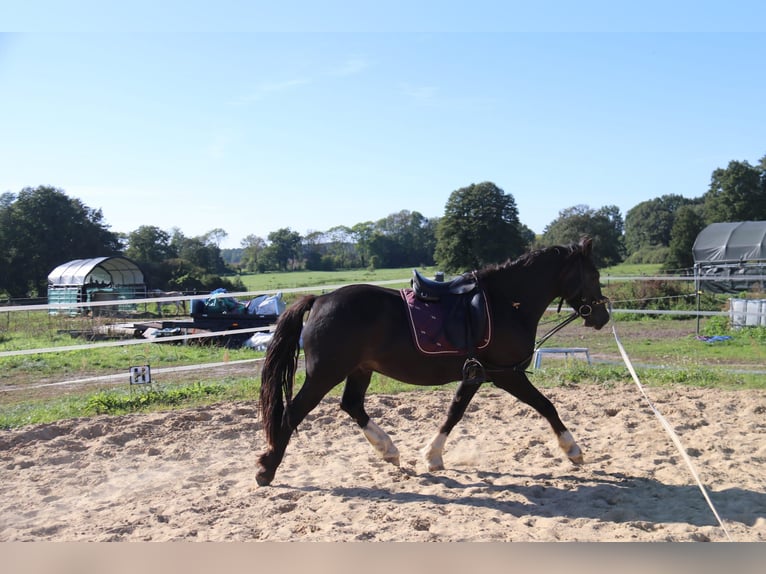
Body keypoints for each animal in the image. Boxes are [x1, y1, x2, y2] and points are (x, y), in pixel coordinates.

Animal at [256, 237, 611, 486]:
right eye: (594, 274)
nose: (603, 316)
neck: (506, 304)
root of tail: (319, 300)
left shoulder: (476, 375)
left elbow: (454, 412)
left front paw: (432, 456)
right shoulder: (506, 375)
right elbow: (546, 405)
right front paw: (573, 450)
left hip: (359, 370)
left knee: (352, 405)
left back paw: (388, 450)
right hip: (325, 374)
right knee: (293, 413)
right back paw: (266, 470)